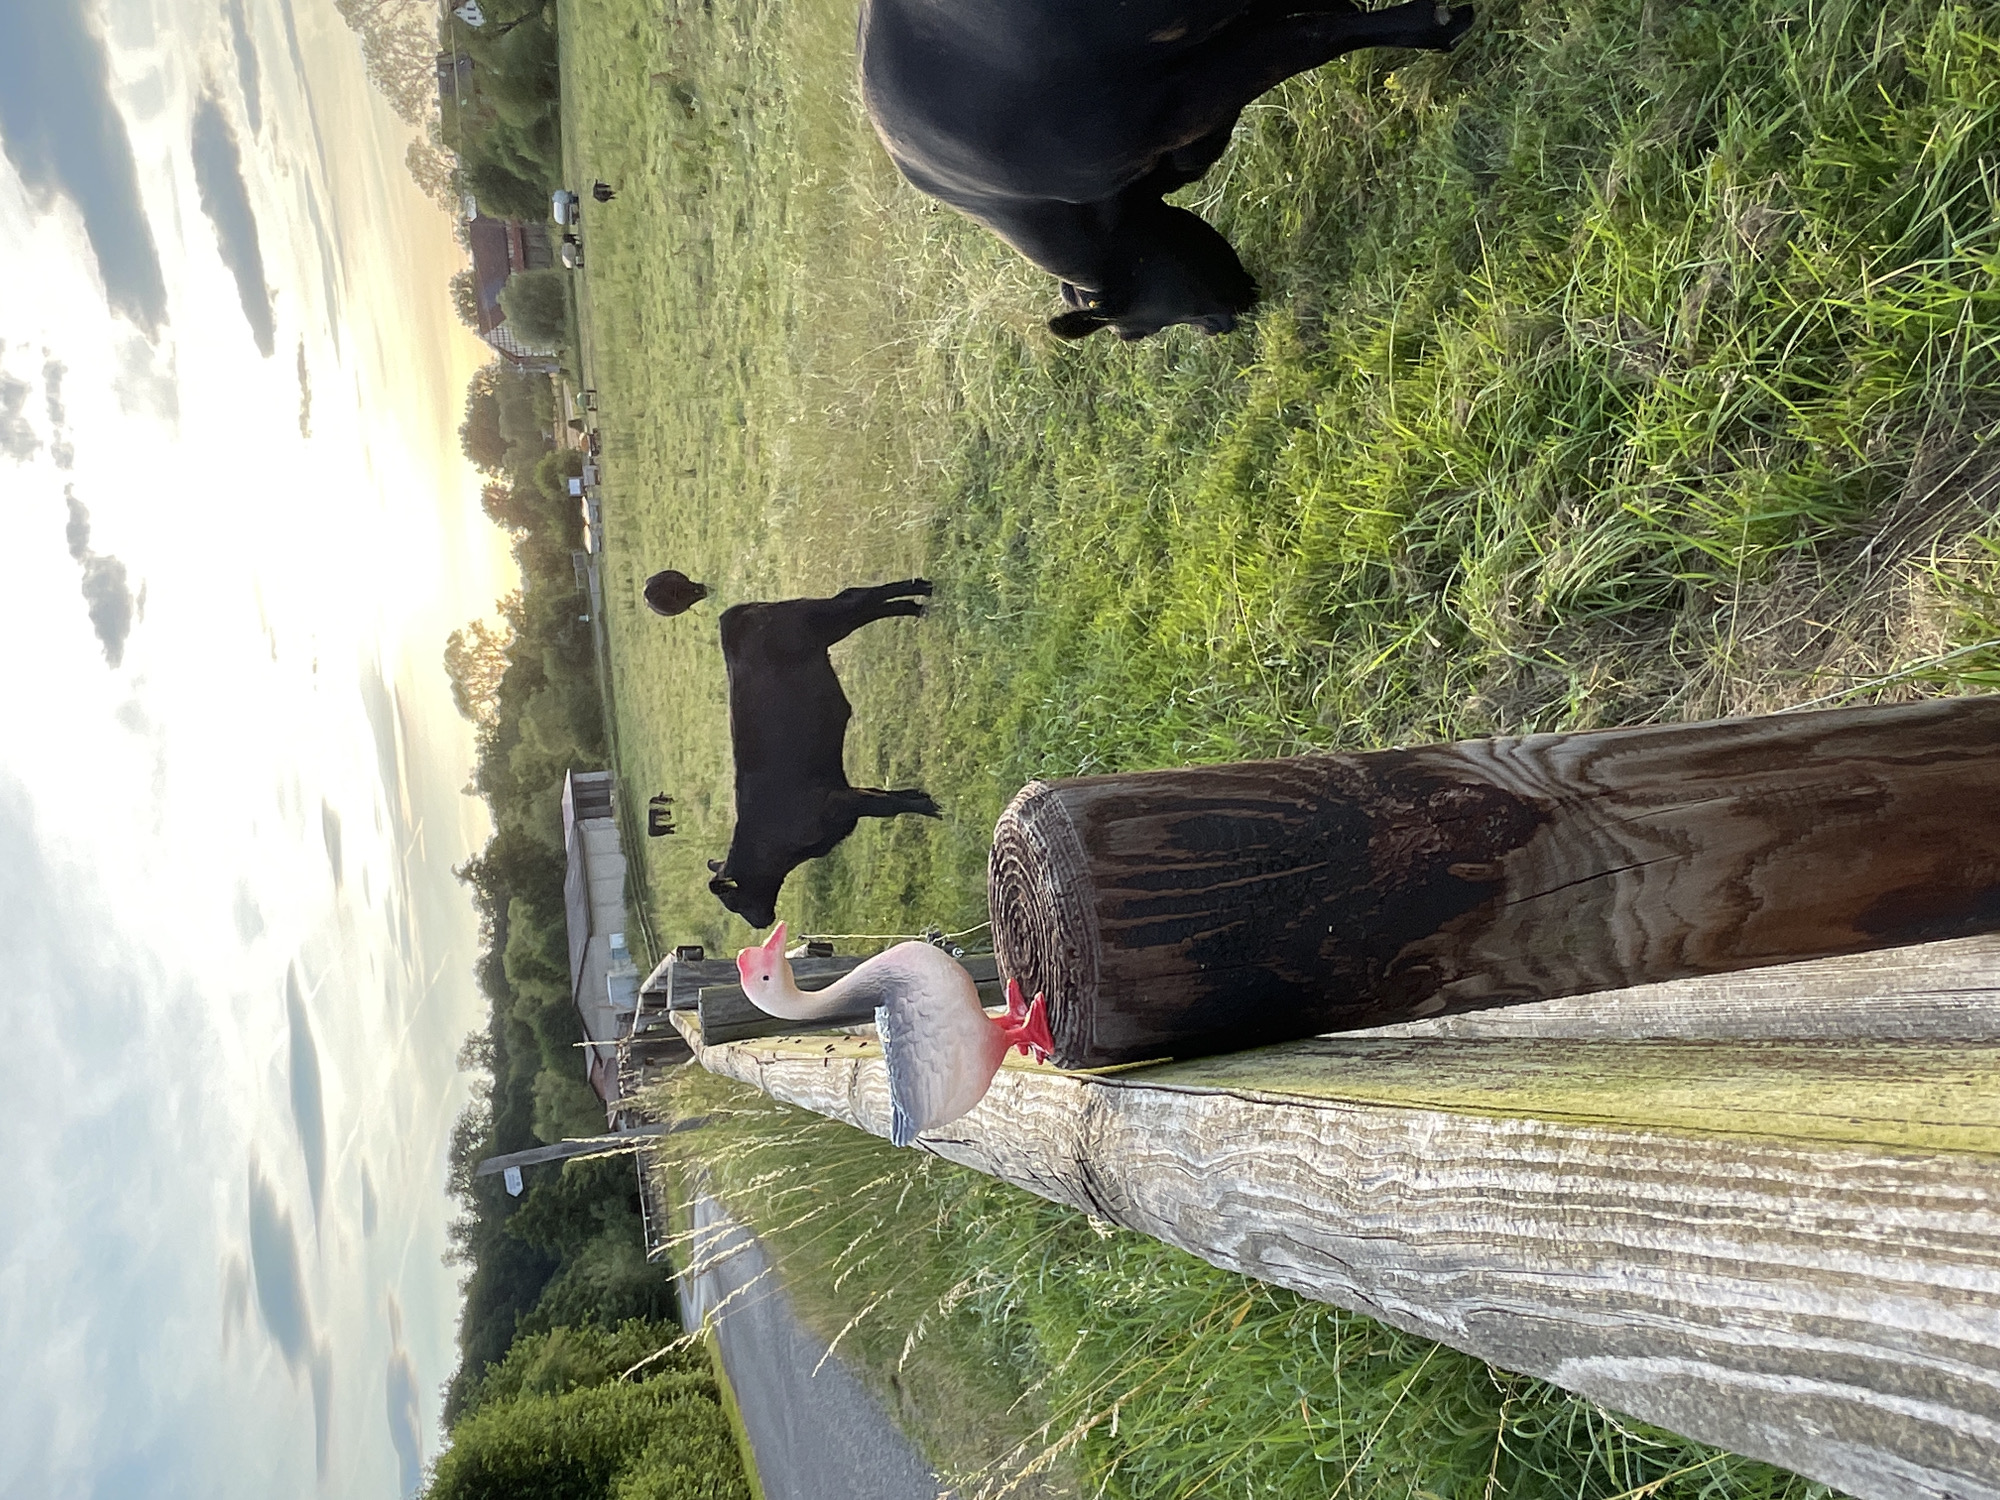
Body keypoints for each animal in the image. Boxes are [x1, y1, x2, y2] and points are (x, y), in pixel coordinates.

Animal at [707, 580, 941, 928]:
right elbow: (883, 797)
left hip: (824, 619)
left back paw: (919, 591)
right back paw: (916, 605)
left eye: (734, 901)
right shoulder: (845, 794)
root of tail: (734, 614)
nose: (760, 923)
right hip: (831, 627)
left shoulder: (839, 803)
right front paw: (919, 796)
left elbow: (887, 806)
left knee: (856, 596)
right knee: (863, 605)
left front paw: (928, 807)